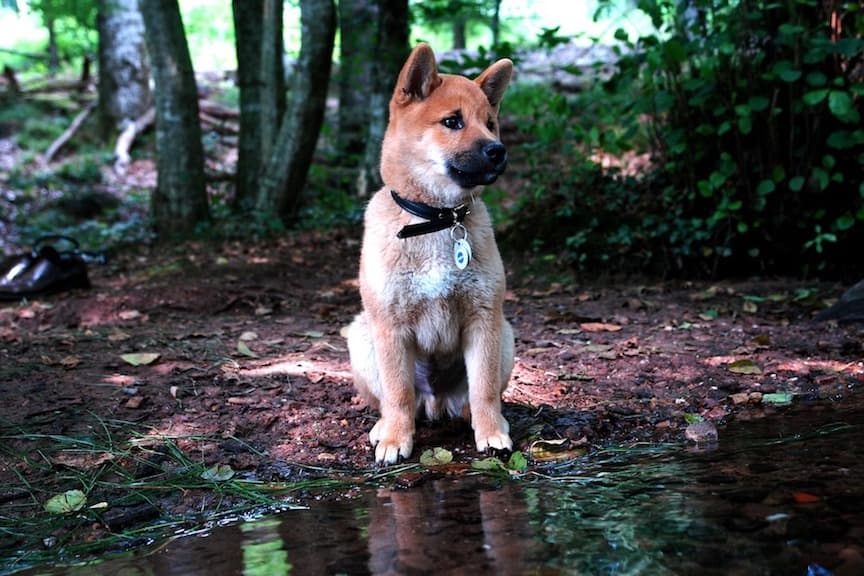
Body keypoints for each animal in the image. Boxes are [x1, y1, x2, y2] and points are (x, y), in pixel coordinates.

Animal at [348, 42, 516, 464]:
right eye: (452, 122)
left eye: (490, 123)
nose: (498, 150)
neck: (438, 220)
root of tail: (437, 402)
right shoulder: (390, 327)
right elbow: (397, 393)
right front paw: (396, 439)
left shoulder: (484, 318)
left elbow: (484, 388)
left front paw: (491, 434)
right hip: (361, 336)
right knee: (395, 401)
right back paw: (384, 427)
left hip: (505, 333)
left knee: (475, 397)